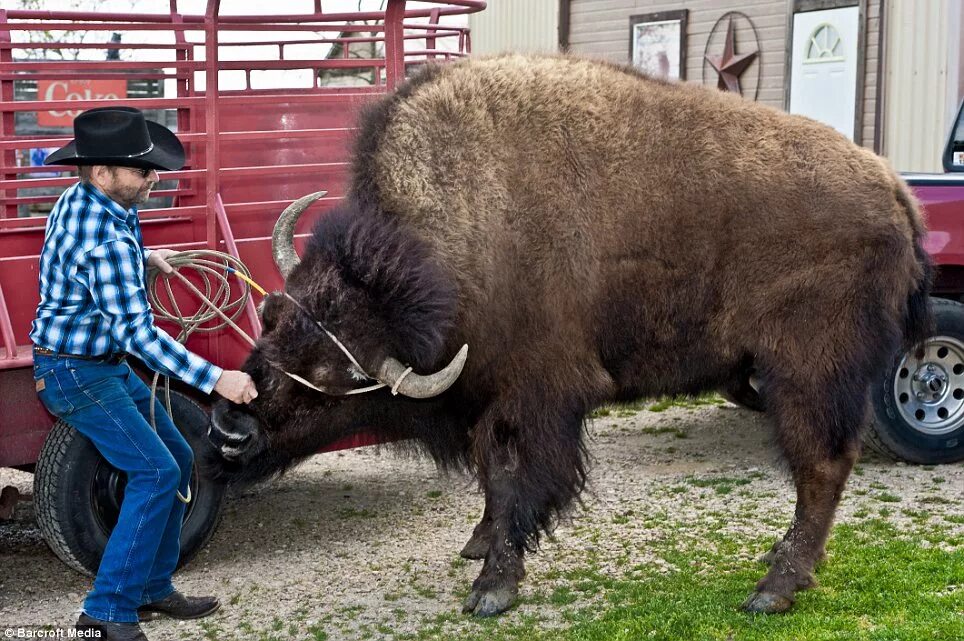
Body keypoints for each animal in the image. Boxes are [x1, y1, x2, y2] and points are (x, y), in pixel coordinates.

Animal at [205, 55, 932, 616]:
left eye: (333, 373)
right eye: (271, 318)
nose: (229, 429)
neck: (457, 236)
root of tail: (893, 188)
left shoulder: (535, 399)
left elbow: (515, 479)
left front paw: (492, 588)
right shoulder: (491, 398)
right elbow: (492, 479)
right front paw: (479, 545)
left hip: (805, 372)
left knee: (821, 466)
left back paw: (772, 589)